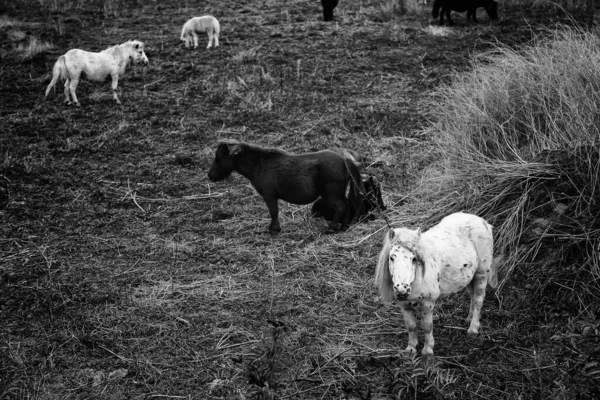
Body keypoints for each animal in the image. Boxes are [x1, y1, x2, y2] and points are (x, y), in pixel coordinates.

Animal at [206, 140, 366, 234]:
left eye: (219, 158)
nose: (210, 176)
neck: (260, 165)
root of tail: (344, 160)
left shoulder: (269, 196)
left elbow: (273, 212)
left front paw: (274, 229)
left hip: (331, 195)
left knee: (341, 207)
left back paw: (331, 227)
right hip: (339, 194)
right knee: (347, 206)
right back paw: (344, 227)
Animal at [376, 212, 496, 356]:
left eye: (414, 259)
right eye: (392, 257)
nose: (401, 290)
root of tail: (481, 221)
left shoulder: (427, 303)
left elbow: (427, 327)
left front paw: (427, 351)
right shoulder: (404, 305)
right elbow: (411, 326)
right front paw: (411, 349)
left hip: (481, 273)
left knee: (478, 299)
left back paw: (472, 330)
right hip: (469, 277)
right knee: (473, 296)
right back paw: (468, 319)